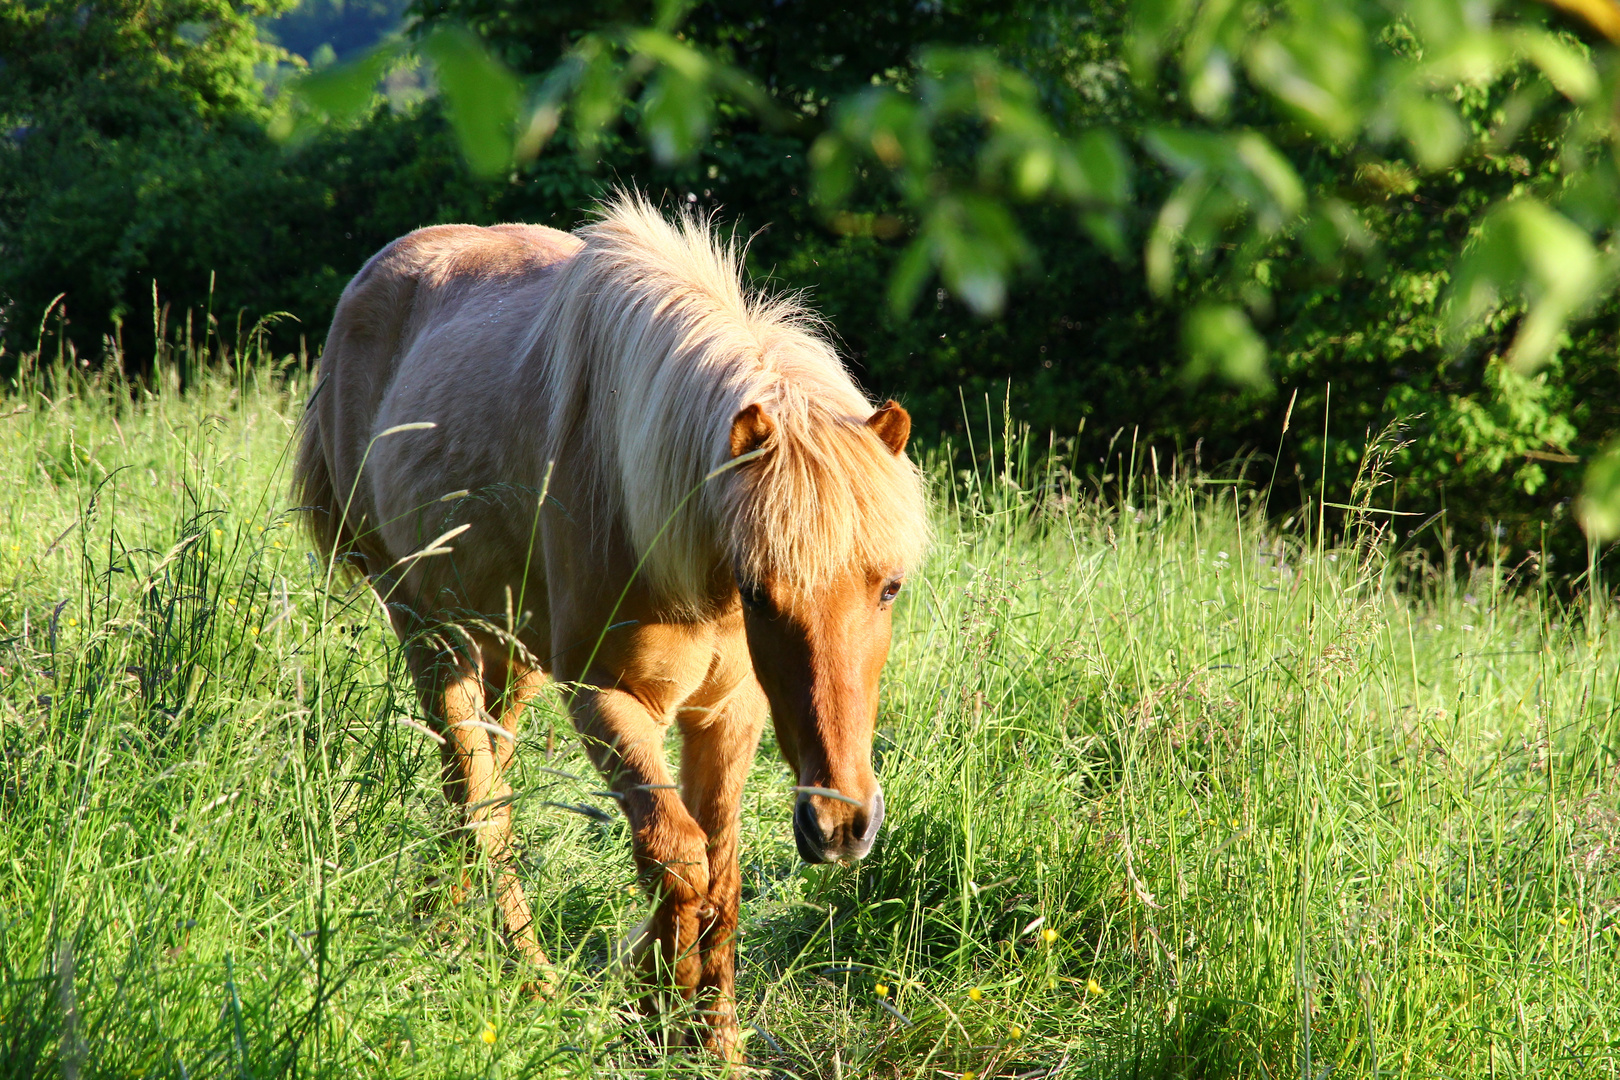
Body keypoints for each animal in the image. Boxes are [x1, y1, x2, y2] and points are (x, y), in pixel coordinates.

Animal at [288, 191, 926, 1055]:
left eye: (888, 587)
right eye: (760, 592)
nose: (839, 824)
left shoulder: (727, 714)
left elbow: (719, 866)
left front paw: (713, 1038)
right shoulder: (606, 700)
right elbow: (676, 856)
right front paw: (656, 999)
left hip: (508, 654)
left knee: (479, 786)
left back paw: (447, 926)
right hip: (428, 628)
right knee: (483, 804)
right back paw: (531, 978)